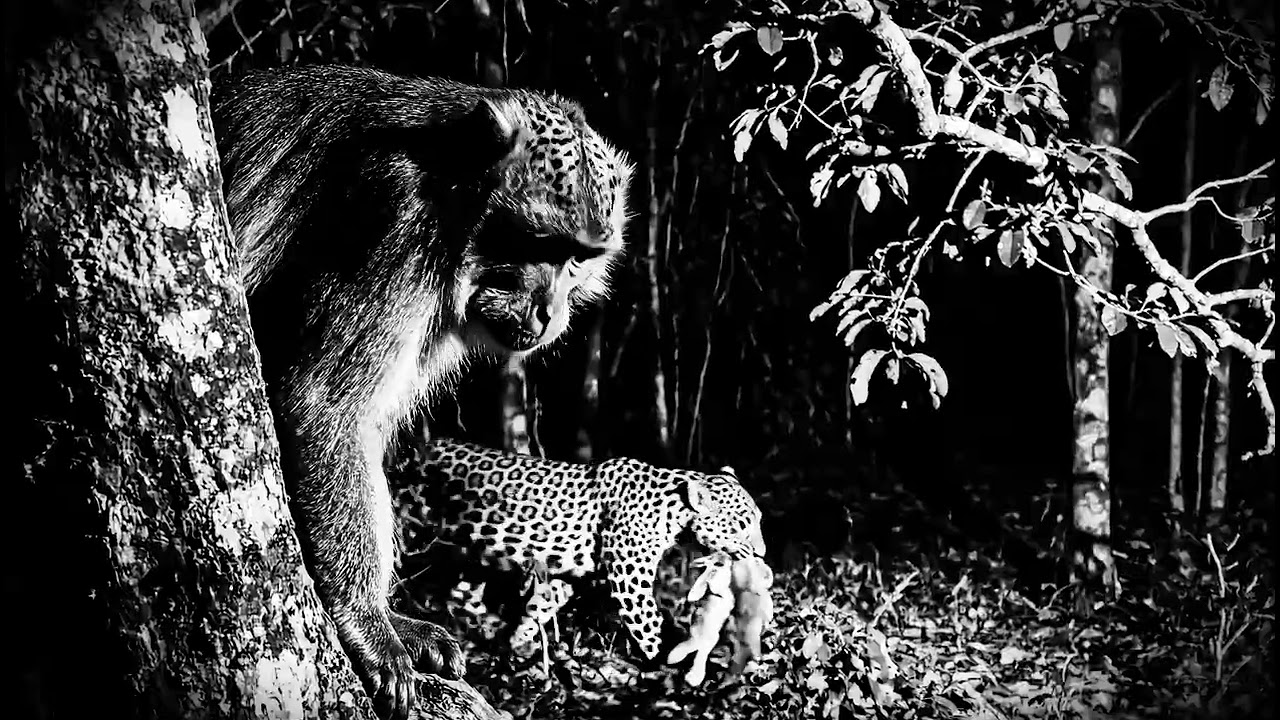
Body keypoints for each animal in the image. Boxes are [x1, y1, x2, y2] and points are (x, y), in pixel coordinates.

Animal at [400, 439, 767, 663]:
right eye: (741, 524)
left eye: (759, 520)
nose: (762, 554)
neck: (674, 510)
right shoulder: (629, 579)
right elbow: (649, 626)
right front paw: (665, 664)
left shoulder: (573, 571)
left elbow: (541, 606)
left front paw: (519, 641)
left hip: (474, 550)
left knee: (461, 595)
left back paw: (482, 632)